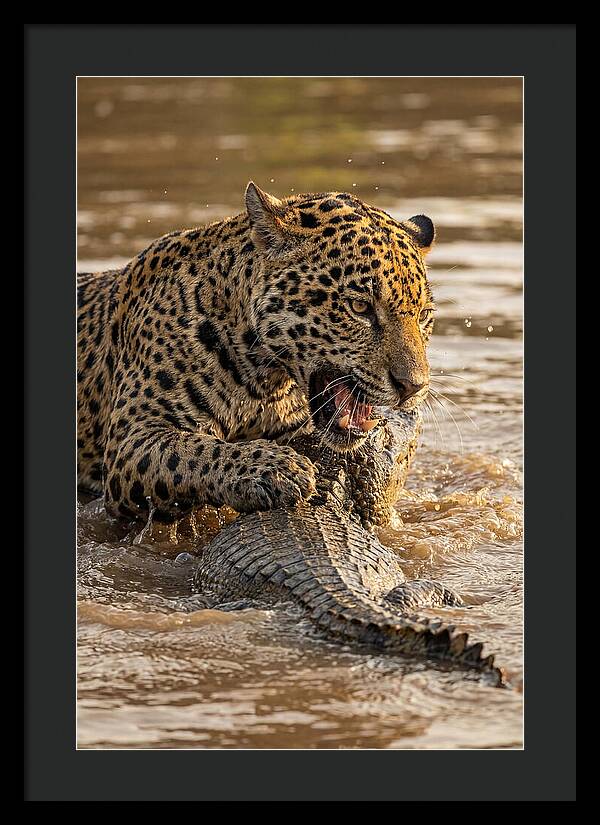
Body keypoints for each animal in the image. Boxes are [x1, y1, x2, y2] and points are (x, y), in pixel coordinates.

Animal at [77, 182, 436, 522]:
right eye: (360, 307)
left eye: (423, 315)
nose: (413, 387)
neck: (264, 380)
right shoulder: (133, 438)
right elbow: (192, 450)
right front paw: (275, 469)